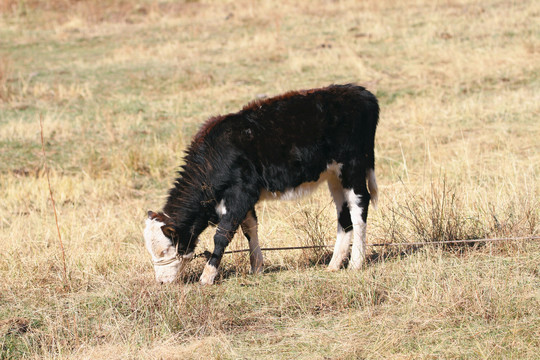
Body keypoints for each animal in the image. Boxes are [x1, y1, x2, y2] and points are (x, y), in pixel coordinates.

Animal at [143, 83, 380, 284]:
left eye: (164, 251)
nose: (161, 282)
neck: (215, 158)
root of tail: (359, 92)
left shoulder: (241, 194)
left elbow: (223, 234)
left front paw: (207, 277)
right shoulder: (244, 197)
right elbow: (250, 228)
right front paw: (256, 267)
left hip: (352, 167)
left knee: (359, 207)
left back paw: (356, 263)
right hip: (334, 176)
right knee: (344, 214)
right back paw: (334, 263)